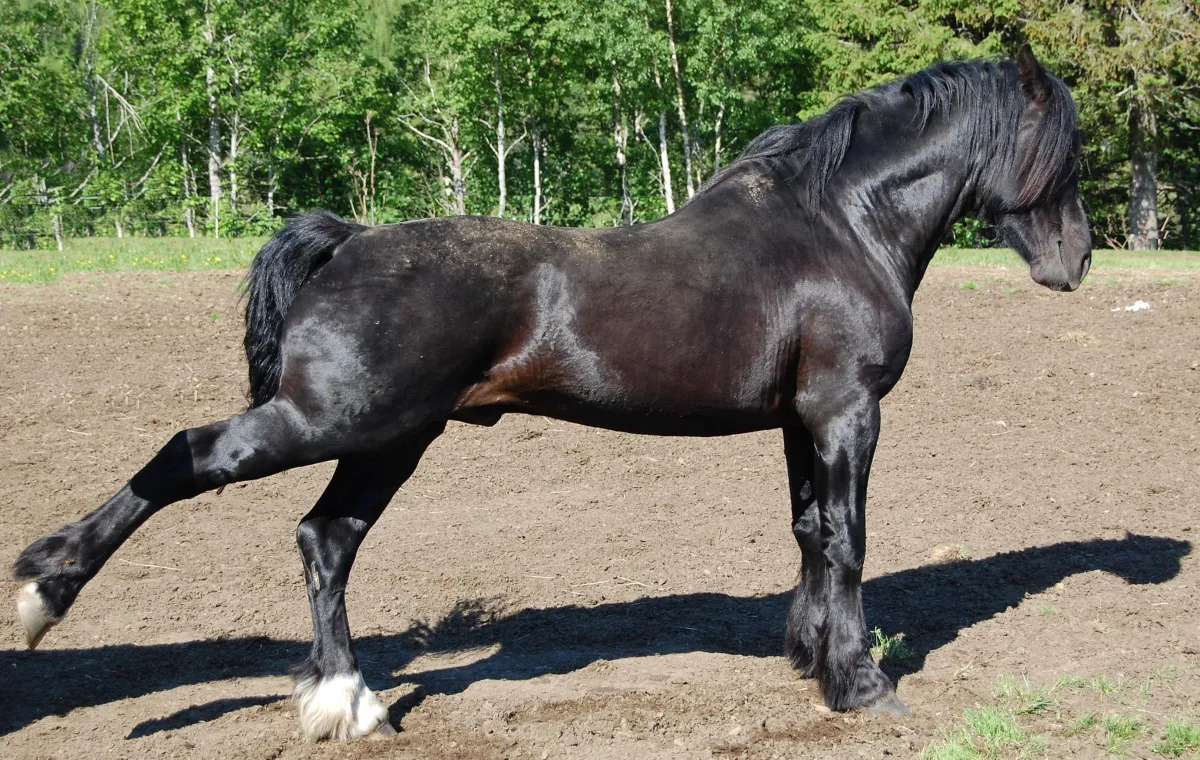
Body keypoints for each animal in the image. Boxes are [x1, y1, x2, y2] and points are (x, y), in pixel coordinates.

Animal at [16, 47, 1089, 734]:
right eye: (1067, 153)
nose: (1076, 259)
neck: (838, 223)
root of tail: (352, 239)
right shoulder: (846, 413)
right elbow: (851, 540)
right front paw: (861, 685)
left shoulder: (801, 420)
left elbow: (812, 535)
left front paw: (811, 658)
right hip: (335, 421)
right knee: (189, 458)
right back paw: (44, 588)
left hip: (390, 439)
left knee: (325, 540)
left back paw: (346, 701)